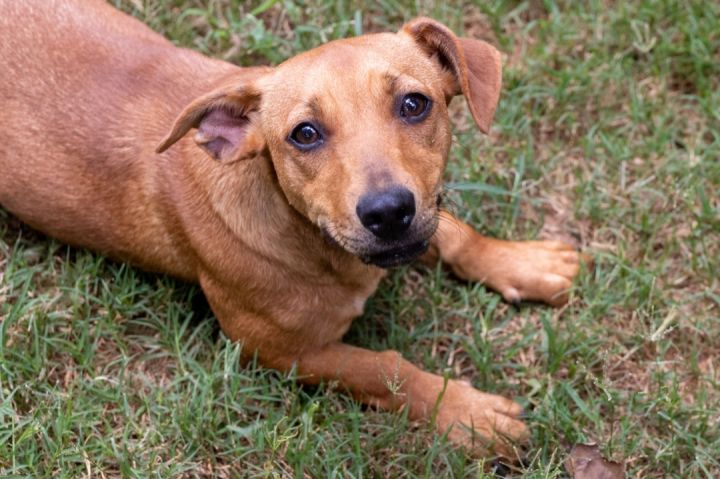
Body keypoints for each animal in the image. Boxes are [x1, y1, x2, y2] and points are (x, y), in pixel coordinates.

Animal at [1, 0, 592, 458]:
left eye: (414, 103)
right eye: (304, 134)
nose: (386, 212)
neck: (309, 238)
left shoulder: (421, 220)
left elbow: (453, 233)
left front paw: (519, 261)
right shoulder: (277, 350)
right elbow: (383, 368)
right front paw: (465, 410)